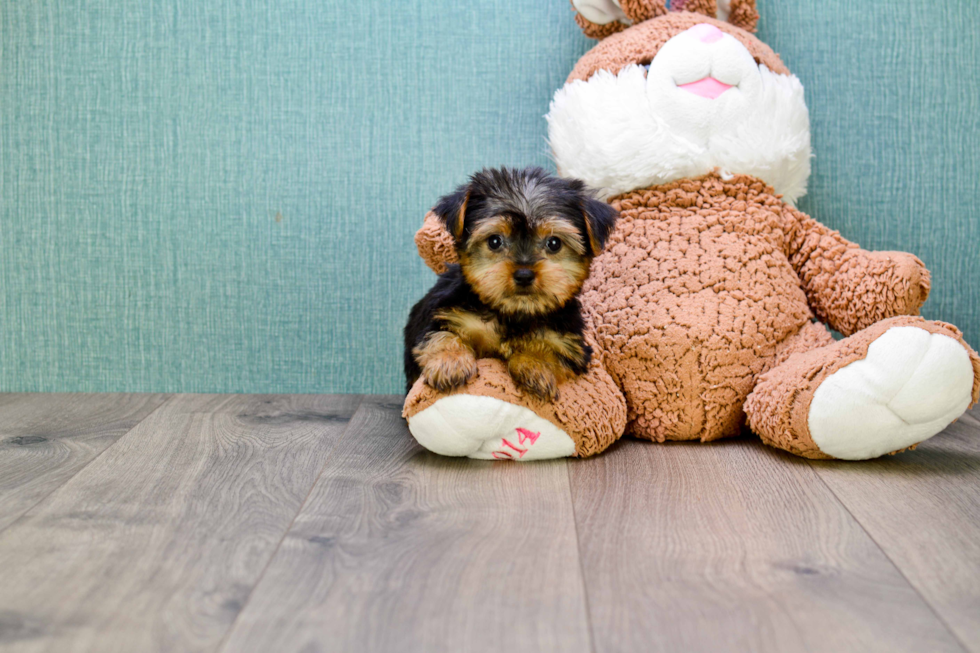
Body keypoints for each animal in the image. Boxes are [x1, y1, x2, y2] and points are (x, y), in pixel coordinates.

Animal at [402, 167, 616, 402]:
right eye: (495, 241)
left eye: (554, 243)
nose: (524, 274)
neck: (514, 313)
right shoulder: (447, 315)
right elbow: (441, 335)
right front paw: (450, 363)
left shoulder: (569, 345)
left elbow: (550, 351)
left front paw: (535, 366)